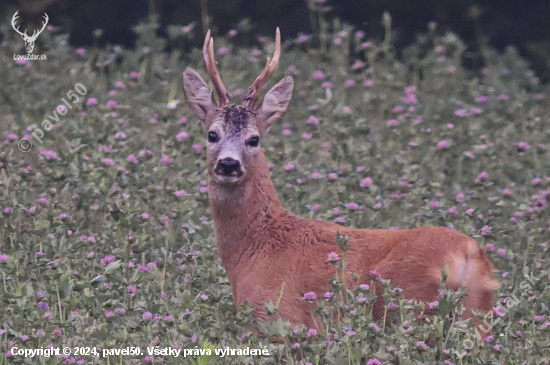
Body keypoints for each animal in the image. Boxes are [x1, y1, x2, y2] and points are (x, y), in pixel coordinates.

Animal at [183, 27, 502, 336]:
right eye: (212, 134)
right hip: (477, 317)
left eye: (254, 139)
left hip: (412, 306)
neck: (254, 247)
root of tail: (468, 255)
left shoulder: (279, 319)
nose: (228, 163)